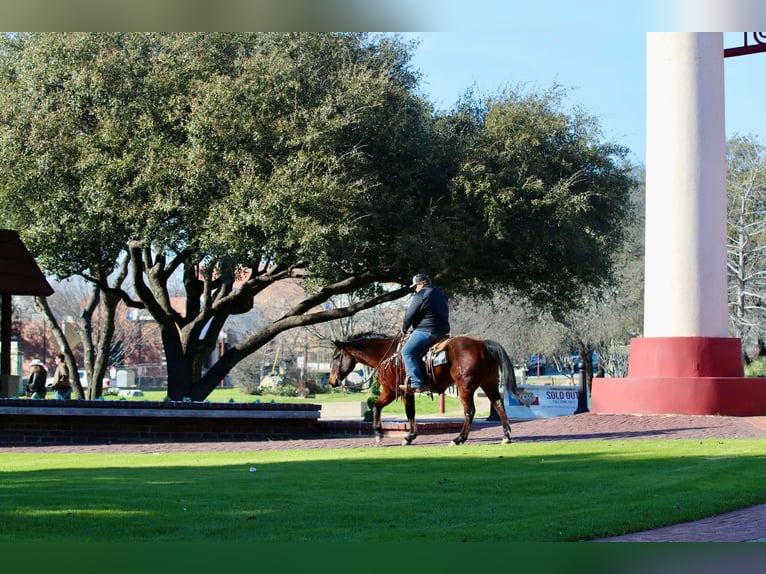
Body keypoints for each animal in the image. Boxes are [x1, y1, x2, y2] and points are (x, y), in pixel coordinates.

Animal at [329, 332, 519, 446]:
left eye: (336, 356)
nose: (331, 381)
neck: (388, 355)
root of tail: (481, 344)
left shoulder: (396, 391)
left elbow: (402, 411)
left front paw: (388, 434)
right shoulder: (397, 391)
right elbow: (384, 407)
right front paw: (402, 435)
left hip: (466, 387)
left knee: (469, 411)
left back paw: (459, 439)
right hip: (489, 384)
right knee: (498, 405)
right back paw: (506, 436)